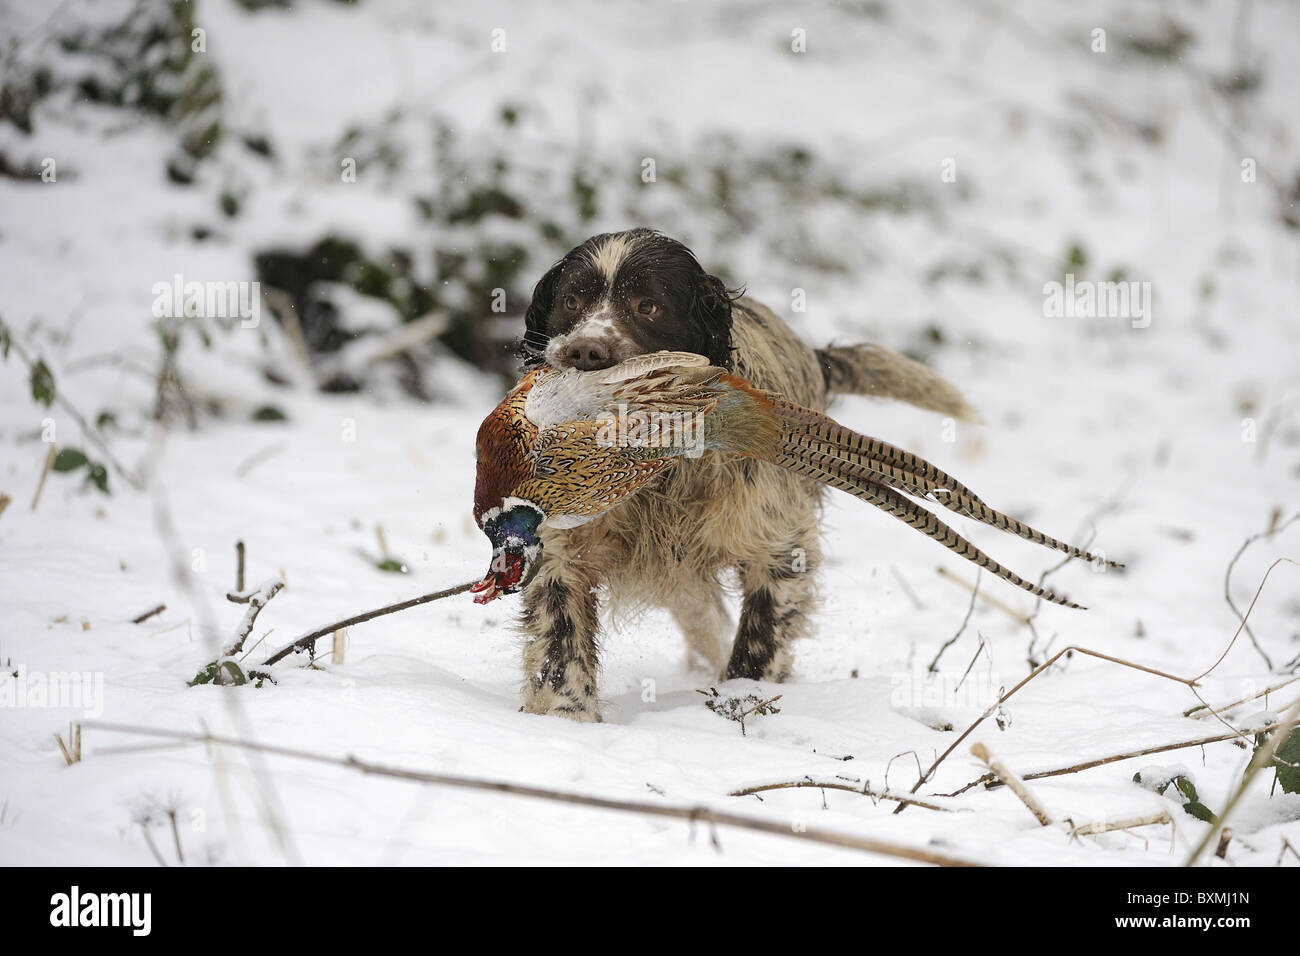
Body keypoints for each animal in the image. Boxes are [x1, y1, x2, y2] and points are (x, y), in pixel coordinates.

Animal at [512, 227, 972, 723]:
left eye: (648, 305)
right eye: (572, 300)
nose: (583, 351)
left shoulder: (780, 550)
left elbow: (757, 645)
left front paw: (739, 705)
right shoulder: (562, 552)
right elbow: (561, 643)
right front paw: (570, 719)